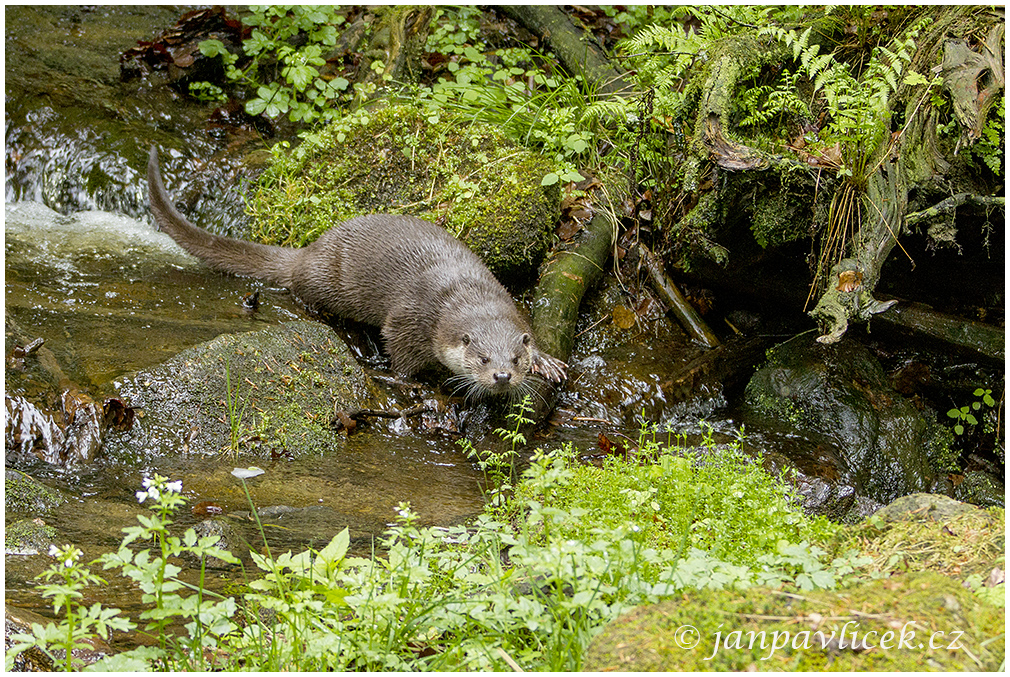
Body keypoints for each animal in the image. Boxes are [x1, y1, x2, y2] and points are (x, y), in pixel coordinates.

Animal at [147, 144, 569, 398]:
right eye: (482, 359)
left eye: (515, 359)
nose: (502, 376)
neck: (465, 293)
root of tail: (310, 250)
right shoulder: (411, 317)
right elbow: (399, 349)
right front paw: (406, 382)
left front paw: (546, 361)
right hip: (325, 281)